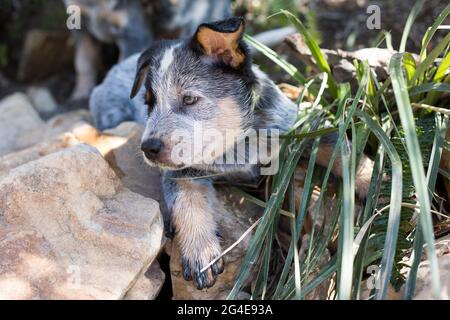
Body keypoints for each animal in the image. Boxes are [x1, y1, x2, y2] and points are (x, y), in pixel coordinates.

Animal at [94, 16, 372, 290]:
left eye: (189, 99)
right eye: (148, 103)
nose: (148, 148)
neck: (236, 145)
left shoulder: (302, 127)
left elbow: (342, 149)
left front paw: (371, 181)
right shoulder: (183, 172)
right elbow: (187, 201)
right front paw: (200, 250)